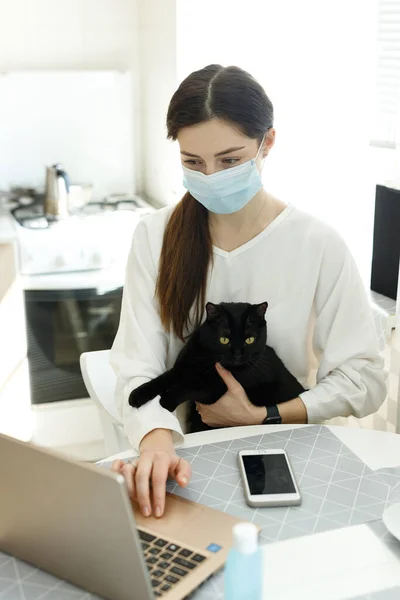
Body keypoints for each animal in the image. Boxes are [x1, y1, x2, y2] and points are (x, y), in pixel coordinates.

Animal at [130, 300, 304, 432]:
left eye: (249, 340)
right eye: (224, 340)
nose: (237, 355)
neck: (207, 359)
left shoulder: (213, 391)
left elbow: (188, 389)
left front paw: (167, 400)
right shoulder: (181, 368)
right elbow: (162, 379)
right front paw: (137, 395)